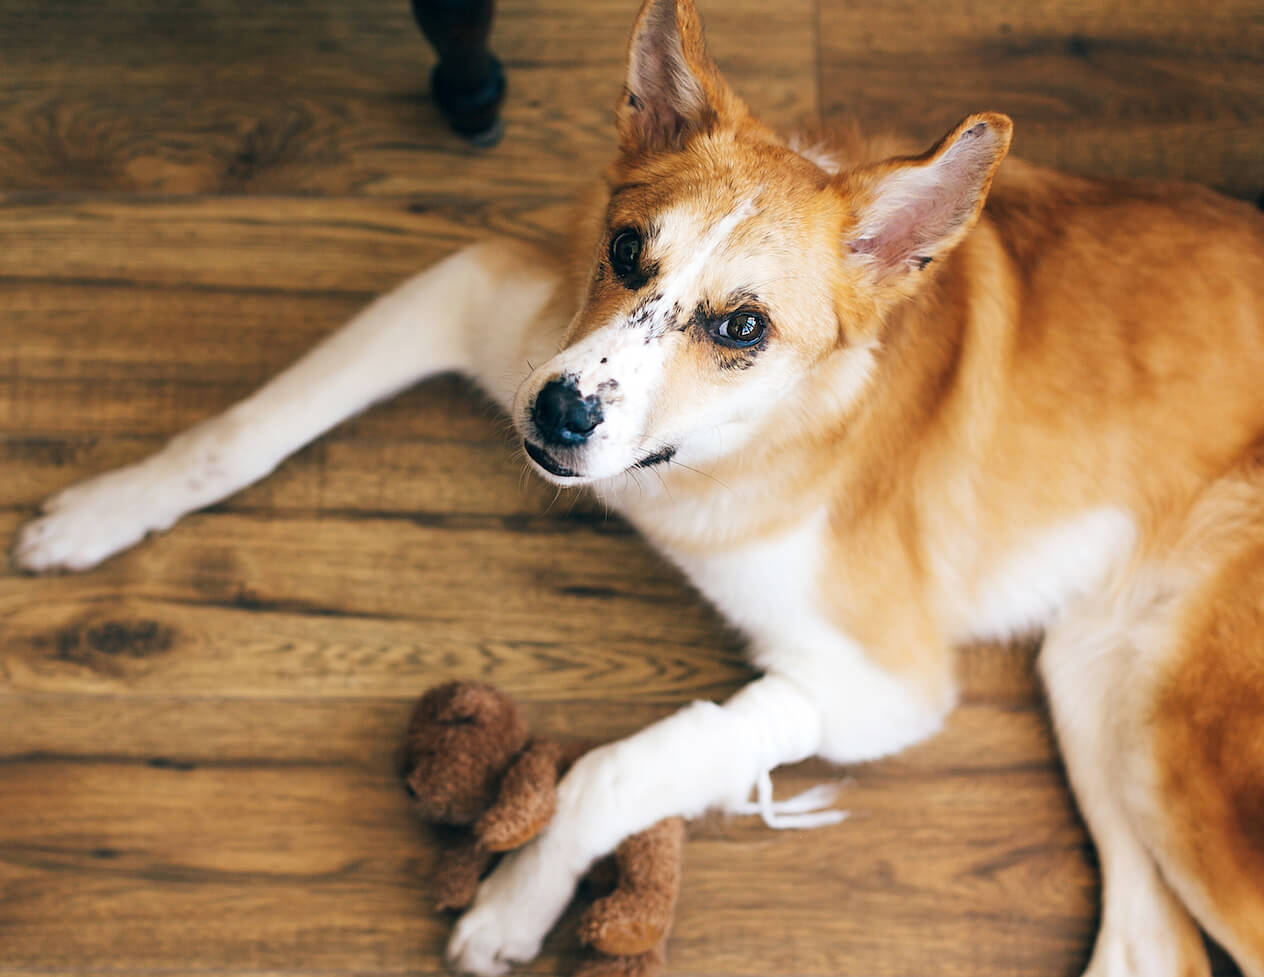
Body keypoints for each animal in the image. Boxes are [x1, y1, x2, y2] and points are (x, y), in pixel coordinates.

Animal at [12, 1, 1264, 975]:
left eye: (742, 327)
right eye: (623, 251)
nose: (558, 416)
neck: (712, 452)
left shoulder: (878, 682)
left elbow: (621, 765)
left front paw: (516, 897)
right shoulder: (473, 297)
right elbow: (241, 432)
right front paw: (102, 509)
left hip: (1180, 758)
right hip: (1100, 692)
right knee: (1152, 940)